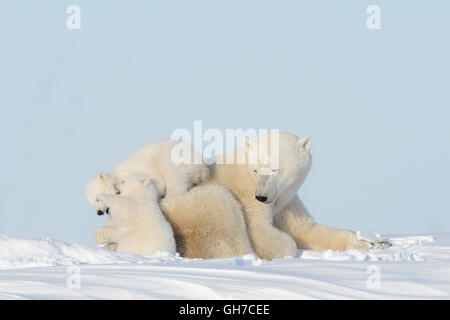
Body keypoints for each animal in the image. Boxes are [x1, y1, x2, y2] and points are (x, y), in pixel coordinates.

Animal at [204, 131, 390, 260]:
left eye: (275, 169)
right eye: (255, 169)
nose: (261, 197)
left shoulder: (287, 199)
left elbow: (305, 229)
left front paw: (375, 243)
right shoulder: (246, 196)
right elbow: (259, 230)